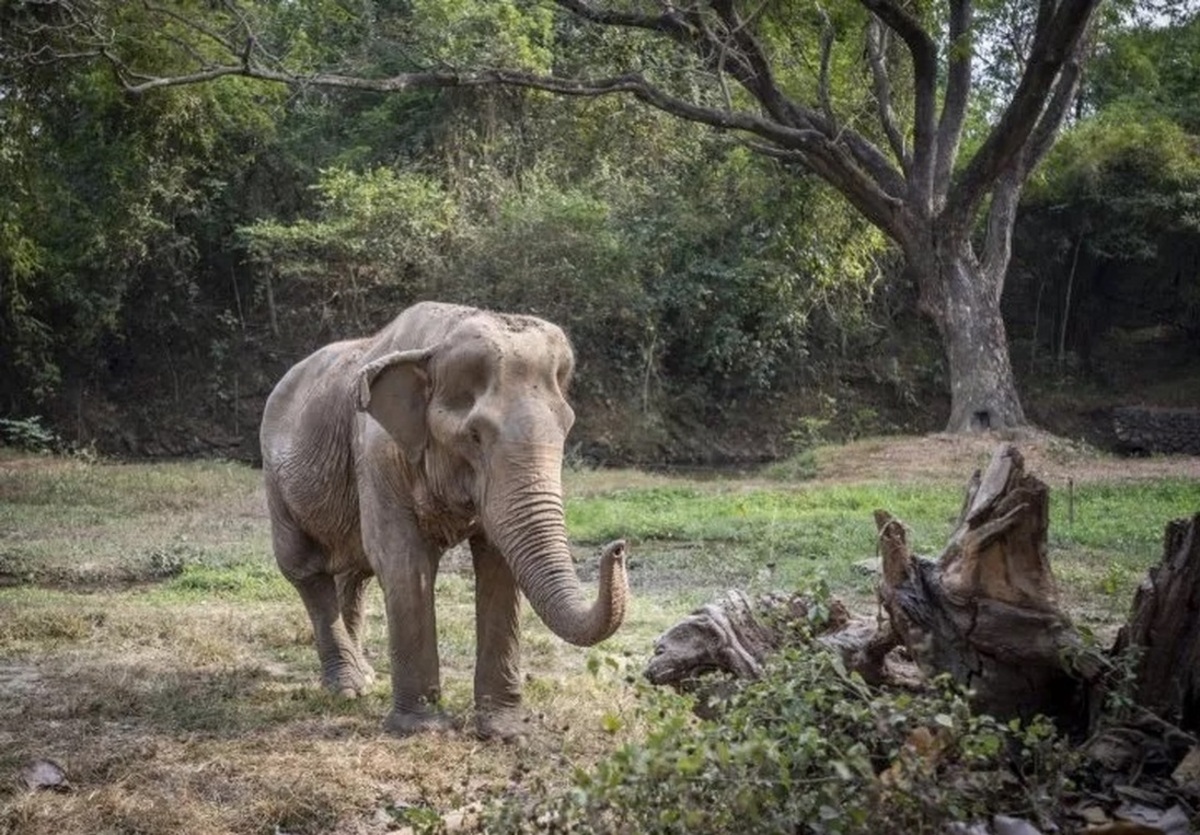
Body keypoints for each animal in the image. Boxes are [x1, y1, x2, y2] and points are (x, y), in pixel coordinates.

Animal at [260, 299, 628, 739]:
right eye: (474, 436)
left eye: (567, 428)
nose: (619, 548)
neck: (437, 342)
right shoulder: (378, 452)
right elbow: (403, 561)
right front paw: (421, 729)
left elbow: (498, 563)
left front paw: (506, 731)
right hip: (275, 481)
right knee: (306, 569)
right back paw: (348, 688)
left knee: (354, 573)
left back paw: (365, 677)